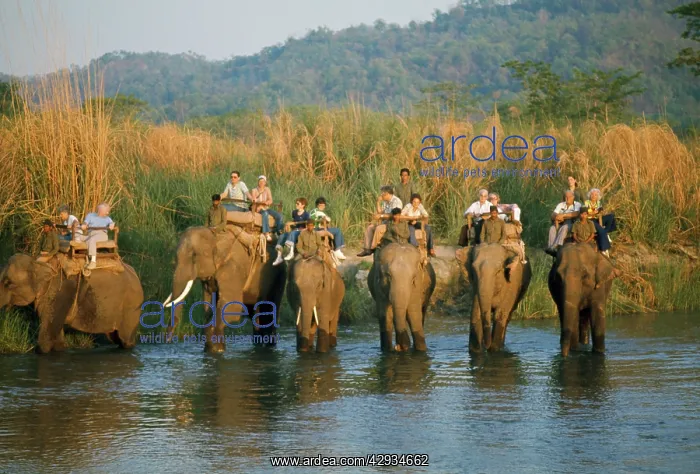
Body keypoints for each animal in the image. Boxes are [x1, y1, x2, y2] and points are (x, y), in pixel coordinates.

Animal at [0, 253, 144, 353]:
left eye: (8, 283)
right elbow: (57, 338)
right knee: (114, 337)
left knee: (125, 340)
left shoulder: (59, 292)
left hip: (131, 308)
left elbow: (47, 336)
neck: (38, 263)